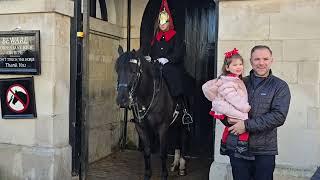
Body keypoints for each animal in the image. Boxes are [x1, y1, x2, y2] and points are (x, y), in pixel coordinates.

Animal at [116, 47, 189, 179]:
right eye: (117, 70)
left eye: (133, 71)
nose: (122, 100)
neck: (147, 95)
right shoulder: (141, 128)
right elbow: (147, 152)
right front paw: (147, 174)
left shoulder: (162, 128)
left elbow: (162, 153)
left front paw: (164, 175)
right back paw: (175, 164)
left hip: (183, 124)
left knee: (183, 140)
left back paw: (182, 166)